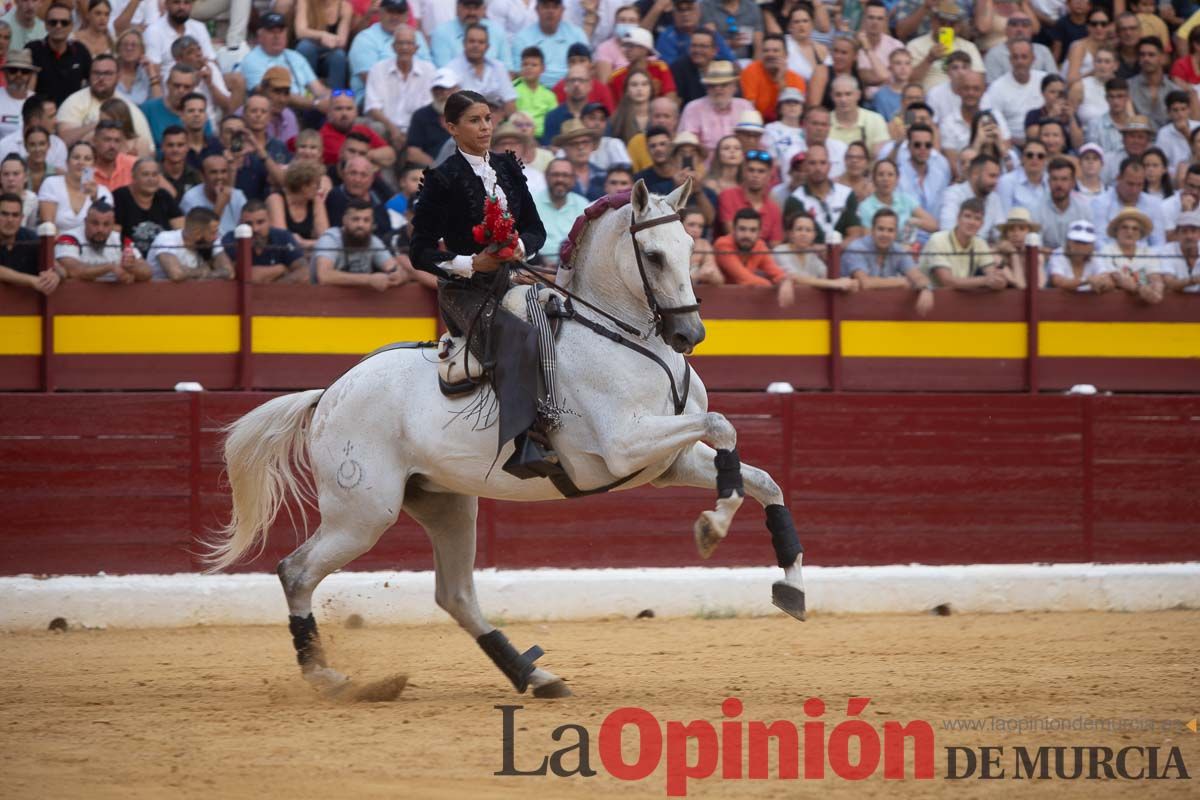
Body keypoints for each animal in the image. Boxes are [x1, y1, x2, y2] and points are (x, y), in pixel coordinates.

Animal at [206, 179, 806, 700]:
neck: (624, 338)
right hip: (362, 514)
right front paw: (711, 527)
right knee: (297, 571)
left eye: (688, 247)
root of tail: (329, 393)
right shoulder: (621, 449)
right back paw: (328, 678)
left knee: (455, 594)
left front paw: (791, 587)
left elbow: (762, 479)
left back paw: (534, 676)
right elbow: (724, 425)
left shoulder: (669, 462)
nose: (689, 334)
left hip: (446, 504)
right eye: (654, 256)